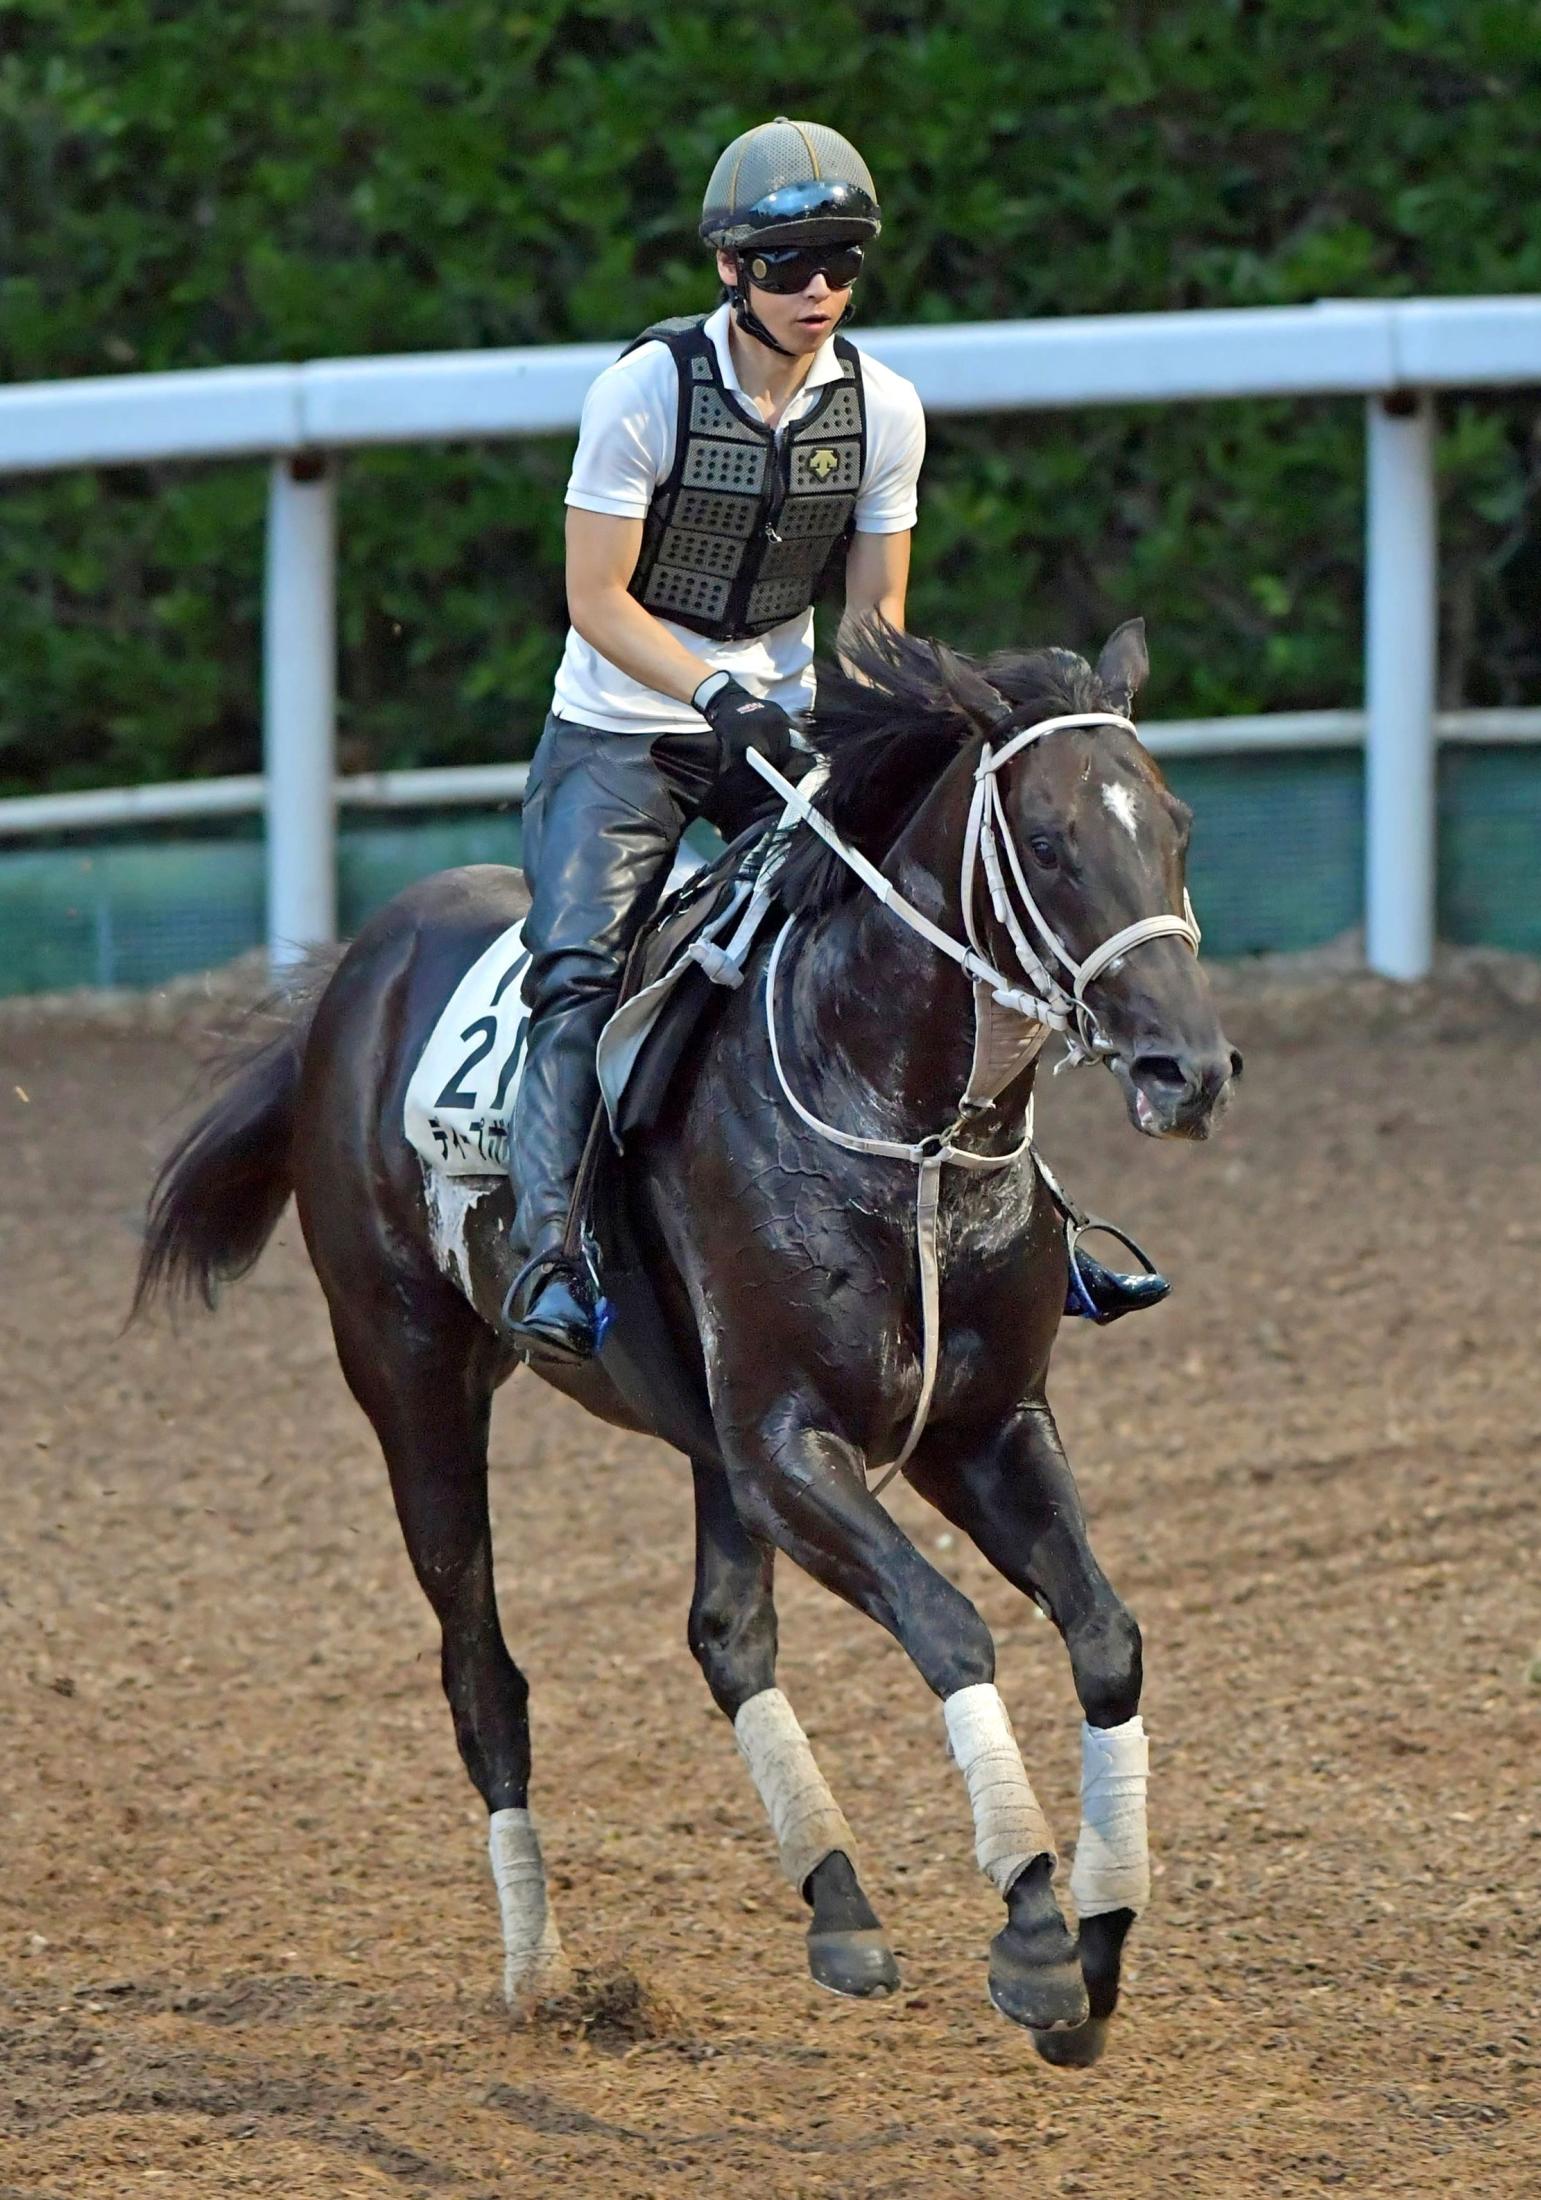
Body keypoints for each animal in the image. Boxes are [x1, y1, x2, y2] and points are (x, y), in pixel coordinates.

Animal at [135, 629, 1241, 2068]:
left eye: (1173, 825)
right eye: (1048, 843)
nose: (1188, 1068)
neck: (895, 1122)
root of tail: (349, 982)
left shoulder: (977, 1430)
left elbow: (1104, 1634)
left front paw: (1100, 1936)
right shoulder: (787, 1447)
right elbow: (950, 1629)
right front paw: (1038, 1932)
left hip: (699, 1436)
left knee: (725, 1635)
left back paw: (836, 1904)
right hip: (412, 1383)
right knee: (482, 1672)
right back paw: (541, 1971)